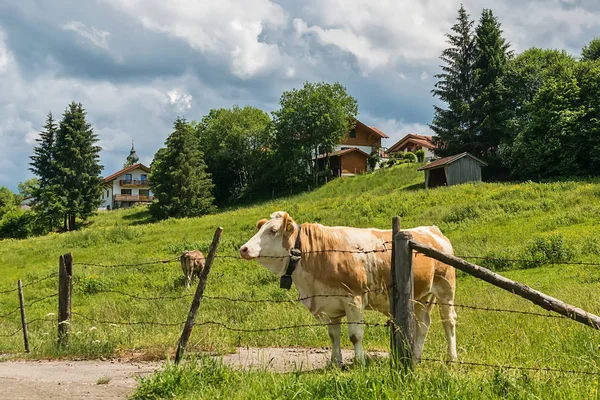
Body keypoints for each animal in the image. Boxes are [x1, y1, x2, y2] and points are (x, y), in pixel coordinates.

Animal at [240, 212, 460, 366]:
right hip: (421, 297)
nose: (243, 249)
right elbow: (333, 335)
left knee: (448, 322)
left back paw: (452, 357)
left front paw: (359, 362)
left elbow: (355, 335)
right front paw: (335, 362)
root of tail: (432, 229)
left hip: (445, 289)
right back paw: (416, 357)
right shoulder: (329, 303)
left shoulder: (354, 298)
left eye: (273, 231)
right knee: (423, 324)